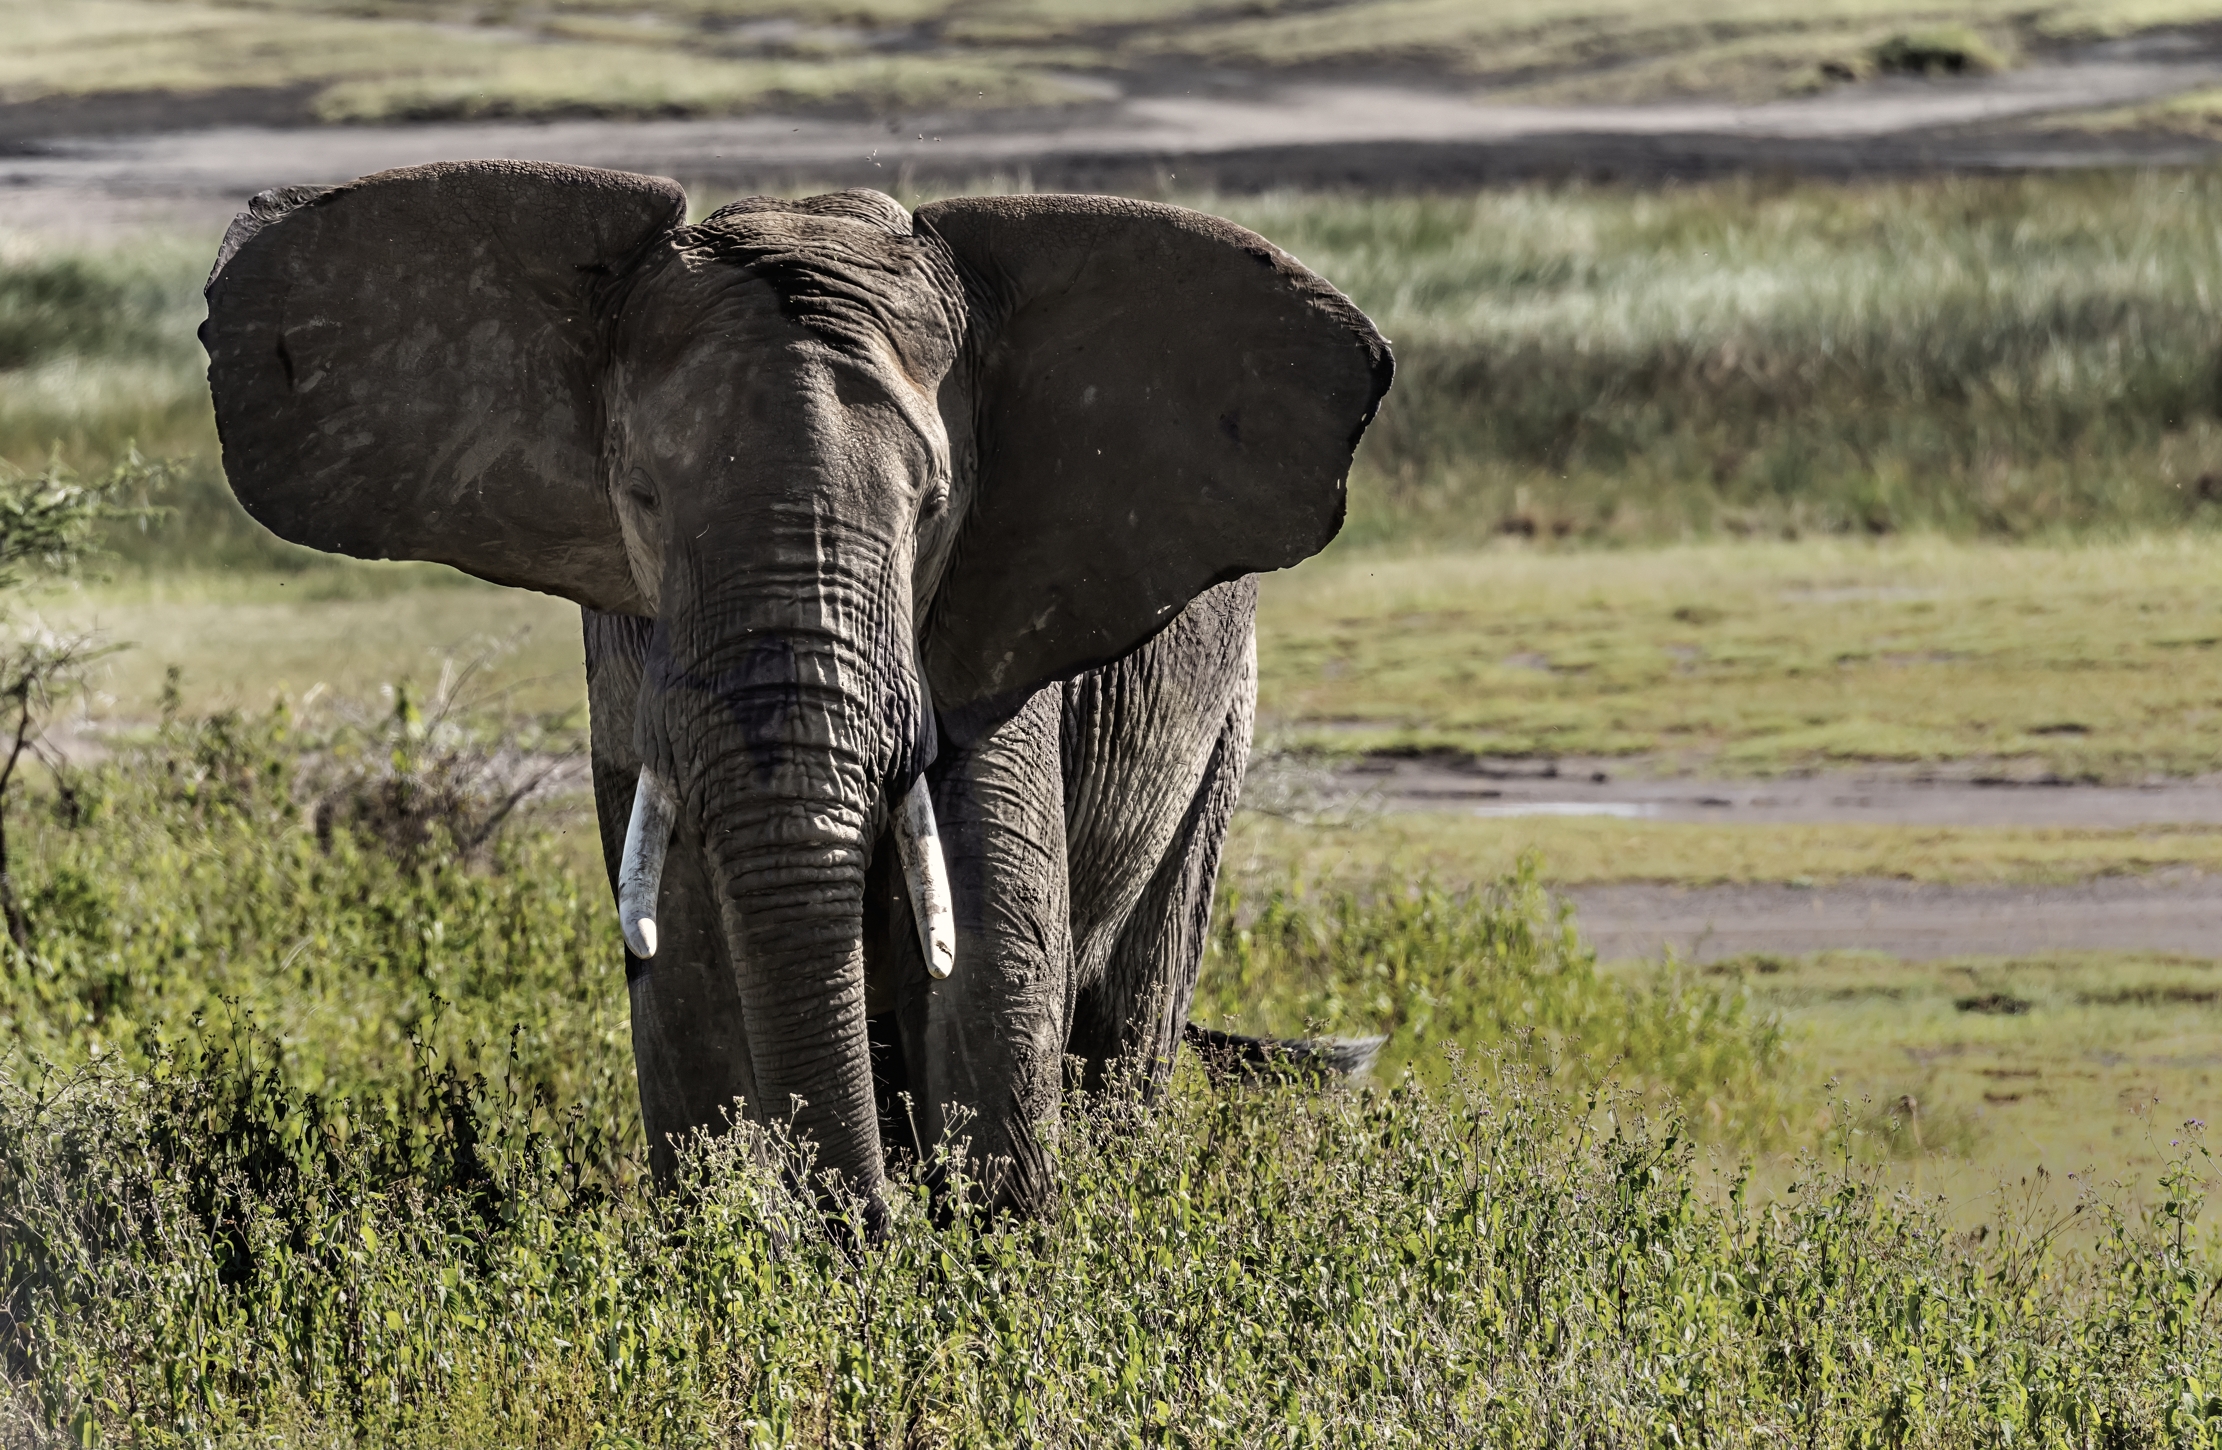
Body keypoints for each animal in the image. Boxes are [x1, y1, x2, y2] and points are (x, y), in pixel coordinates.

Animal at [199, 160, 1392, 1221]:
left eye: (932, 508)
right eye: (641, 496)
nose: (869, 1223)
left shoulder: (984, 627)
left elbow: (993, 954)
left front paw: (990, 1263)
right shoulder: (633, 653)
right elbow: (682, 960)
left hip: (1224, 723)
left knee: (1131, 1009)